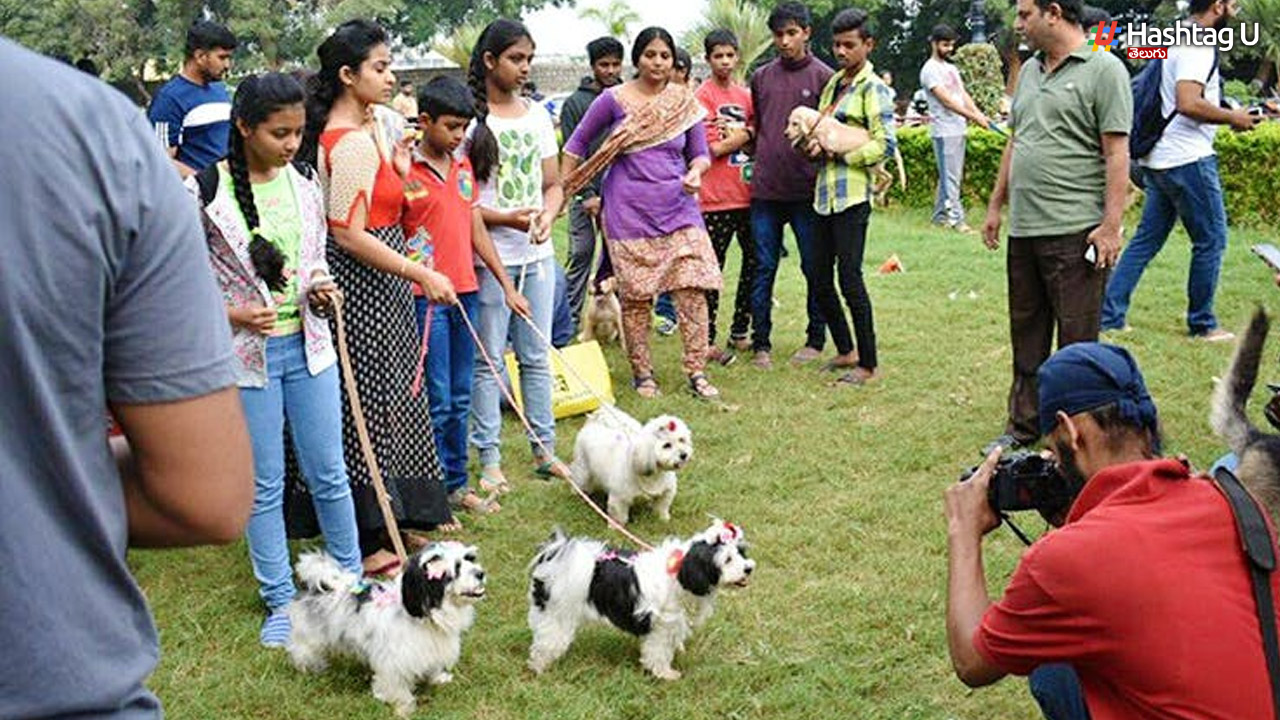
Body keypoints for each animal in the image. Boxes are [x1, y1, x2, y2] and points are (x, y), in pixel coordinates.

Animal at [289, 540, 483, 712]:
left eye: (468, 558)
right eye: (456, 569)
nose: (481, 573)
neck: (424, 615)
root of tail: (321, 584)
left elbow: (433, 666)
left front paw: (437, 678)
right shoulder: (394, 660)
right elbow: (395, 683)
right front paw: (403, 704)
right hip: (310, 635)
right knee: (302, 649)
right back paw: (310, 667)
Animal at [524, 515, 752, 676]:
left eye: (741, 553)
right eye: (727, 560)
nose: (748, 568)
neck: (679, 572)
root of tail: (556, 556)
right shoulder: (661, 626)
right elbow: (658, 651)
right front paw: (664, 673)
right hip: (556, 614)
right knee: (547, 641)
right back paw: (539, 667)